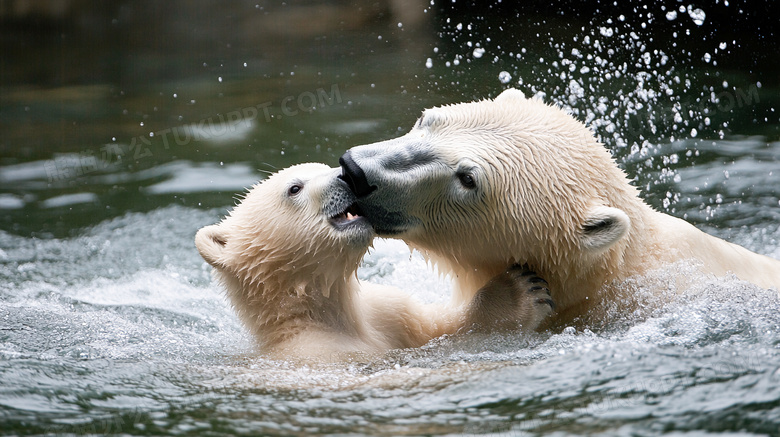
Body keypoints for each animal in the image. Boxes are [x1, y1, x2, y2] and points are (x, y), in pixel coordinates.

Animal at [195, 162, 556, 360]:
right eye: (294, 188)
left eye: (323, 167)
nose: (345, 176)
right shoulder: (316, 353)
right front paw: (521, 290)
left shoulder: (388, 312)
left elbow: (435, 329)